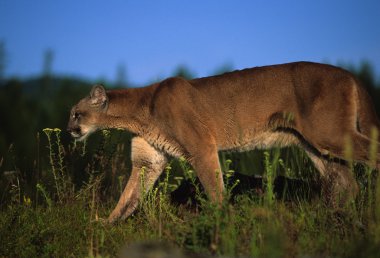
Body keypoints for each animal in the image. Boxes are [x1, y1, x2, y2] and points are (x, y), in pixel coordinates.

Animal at [67, 61, 378, 223]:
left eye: (76, 113)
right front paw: (106, 225)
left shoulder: (201, 147)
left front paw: (220, 222)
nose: (69, 129)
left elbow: (215, 189)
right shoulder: (148, 161)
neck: (141, 109)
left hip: (329, 134)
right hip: (316, 145)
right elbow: (128, 197)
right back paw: (333, 216)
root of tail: (349, 73)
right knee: (347, 183)